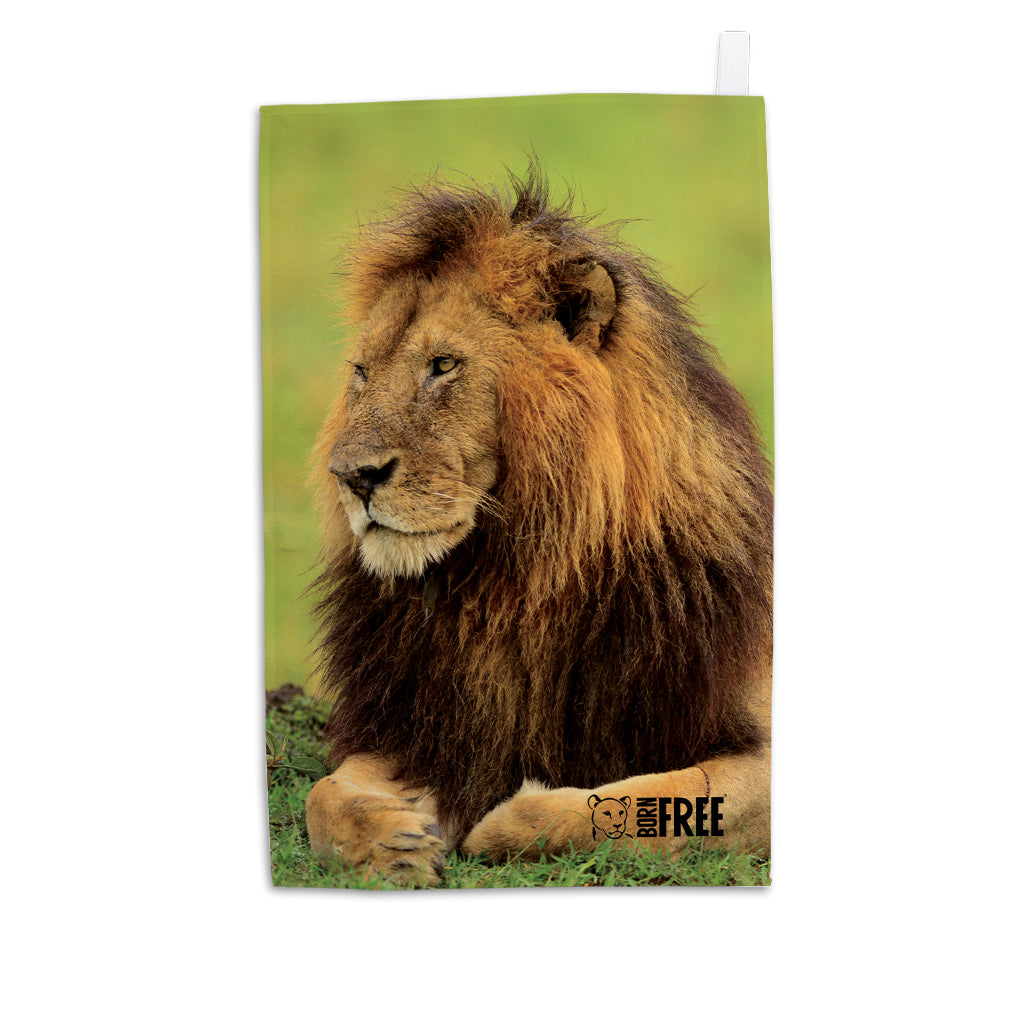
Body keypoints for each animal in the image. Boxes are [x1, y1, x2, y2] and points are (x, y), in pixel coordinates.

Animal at [304, 166, 773, 886]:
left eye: (443, 365)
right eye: (361, 372)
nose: (351, 476)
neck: (514, 582)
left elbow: (650, 802)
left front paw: (502, 822)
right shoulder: (411, 725)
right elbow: (323, 795)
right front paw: (392, 843)